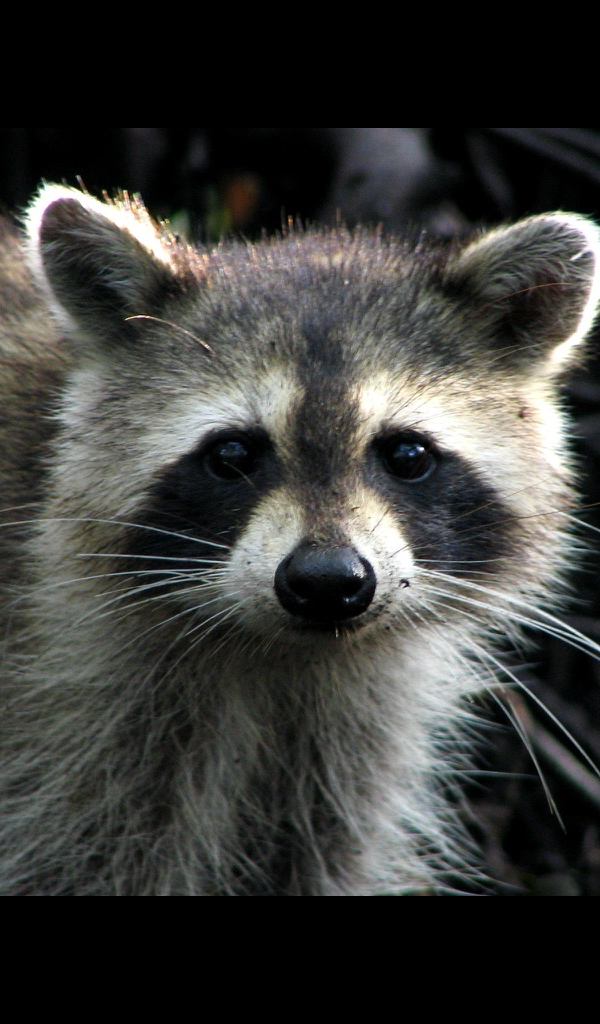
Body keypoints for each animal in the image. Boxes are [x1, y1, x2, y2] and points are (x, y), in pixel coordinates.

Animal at [0, 185, 598, 896]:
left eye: (407, 454)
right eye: (232, 453)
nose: (328, 581)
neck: (283, 658)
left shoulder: (341, 749)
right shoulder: (69, 719)